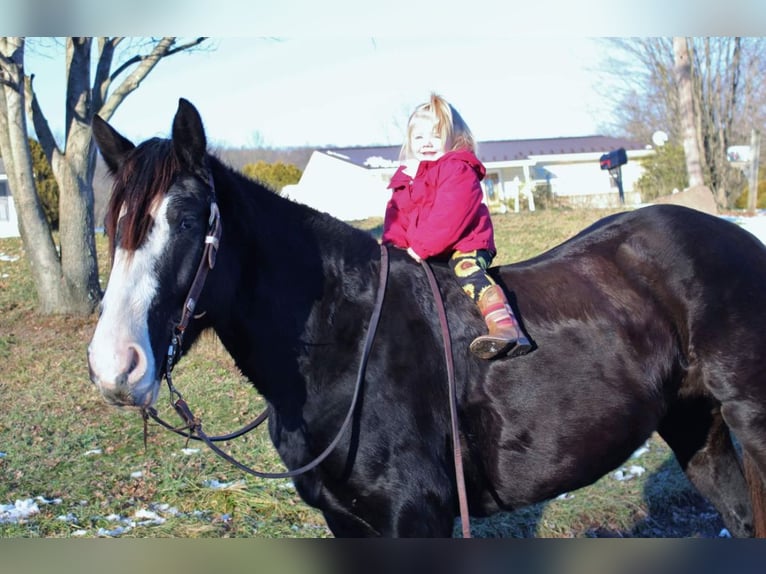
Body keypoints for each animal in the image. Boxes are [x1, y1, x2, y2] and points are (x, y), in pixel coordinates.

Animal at [87, 100, 766, 540]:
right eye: (112, 226)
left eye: (186, 220)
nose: (116, 366)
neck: (343, 344)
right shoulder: (348, 523)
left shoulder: (416, 516)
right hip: (694, 422)